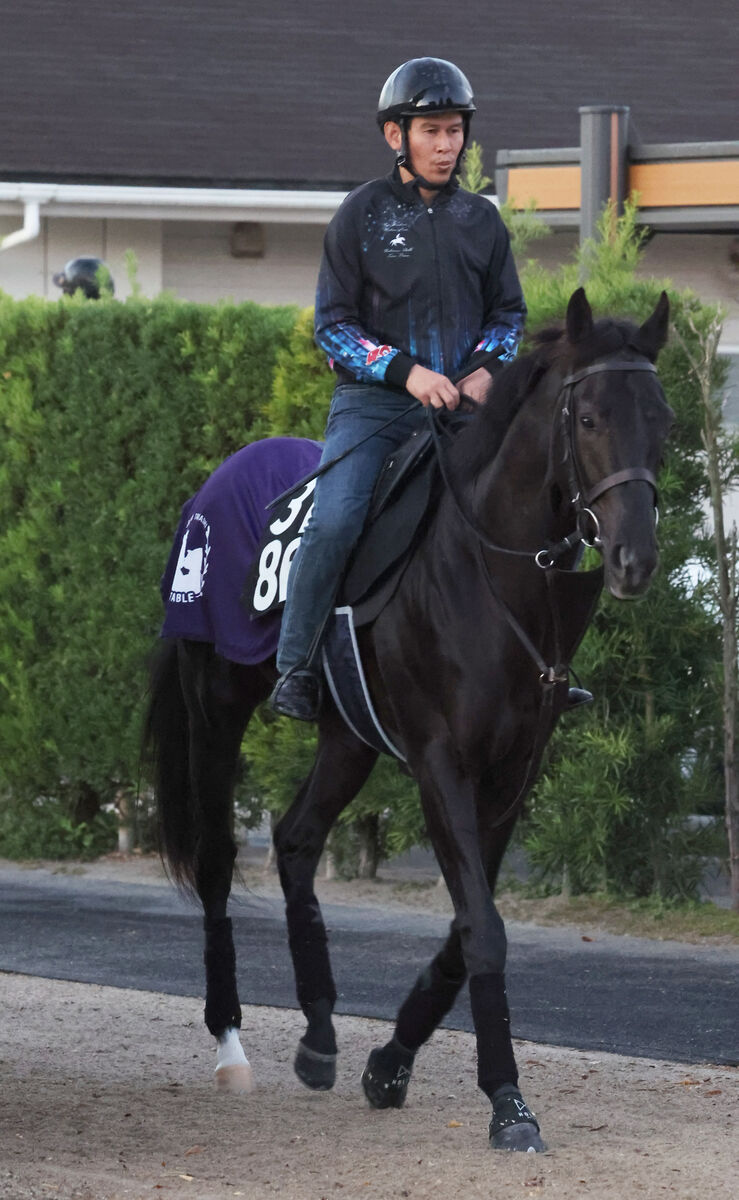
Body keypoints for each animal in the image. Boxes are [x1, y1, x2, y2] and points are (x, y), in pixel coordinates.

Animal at [144, 288, 676, 1152]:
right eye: (590, 416)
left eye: (662, 419)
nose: (634, 558)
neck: (488, 572)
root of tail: (209, 488)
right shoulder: (439, 765)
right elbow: (482, 928)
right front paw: (507, 1103)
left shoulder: (511, 774)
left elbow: (469, 926)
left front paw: (388, 1062)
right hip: (216, 705)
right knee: (221, 858)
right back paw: (230, 1045)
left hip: (346, 740)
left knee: (295, 839)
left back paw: (320, 1034)